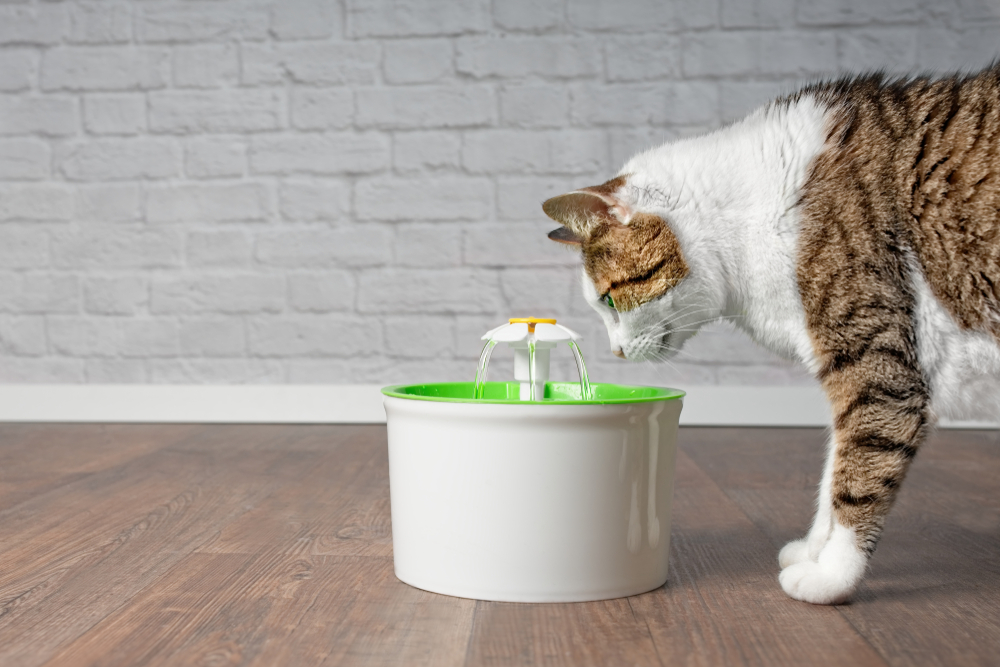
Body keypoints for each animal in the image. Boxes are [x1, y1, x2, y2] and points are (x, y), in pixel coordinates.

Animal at [548, 64, 1000, 604]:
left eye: (611, 301)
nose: (615, 351)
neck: (747, 218)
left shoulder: (877, 369)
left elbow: (860, 471)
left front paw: (832, 575)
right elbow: (833, 471)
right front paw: (814, 550)